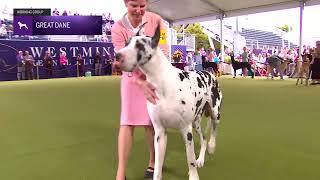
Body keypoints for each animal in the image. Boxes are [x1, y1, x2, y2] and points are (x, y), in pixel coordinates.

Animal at [116, 22, 224, 180]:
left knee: (213, 131)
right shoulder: (160, 133)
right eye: (126, 43)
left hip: (215, 113)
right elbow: (157, 166)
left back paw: (211, 147)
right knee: (203, 138)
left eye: (140, 46)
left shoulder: (186, 130)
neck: (162, 82)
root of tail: (209, 72)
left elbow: (190, 159)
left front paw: (193, 176)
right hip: (196, 122)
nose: (117, 56)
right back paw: (201, 159)